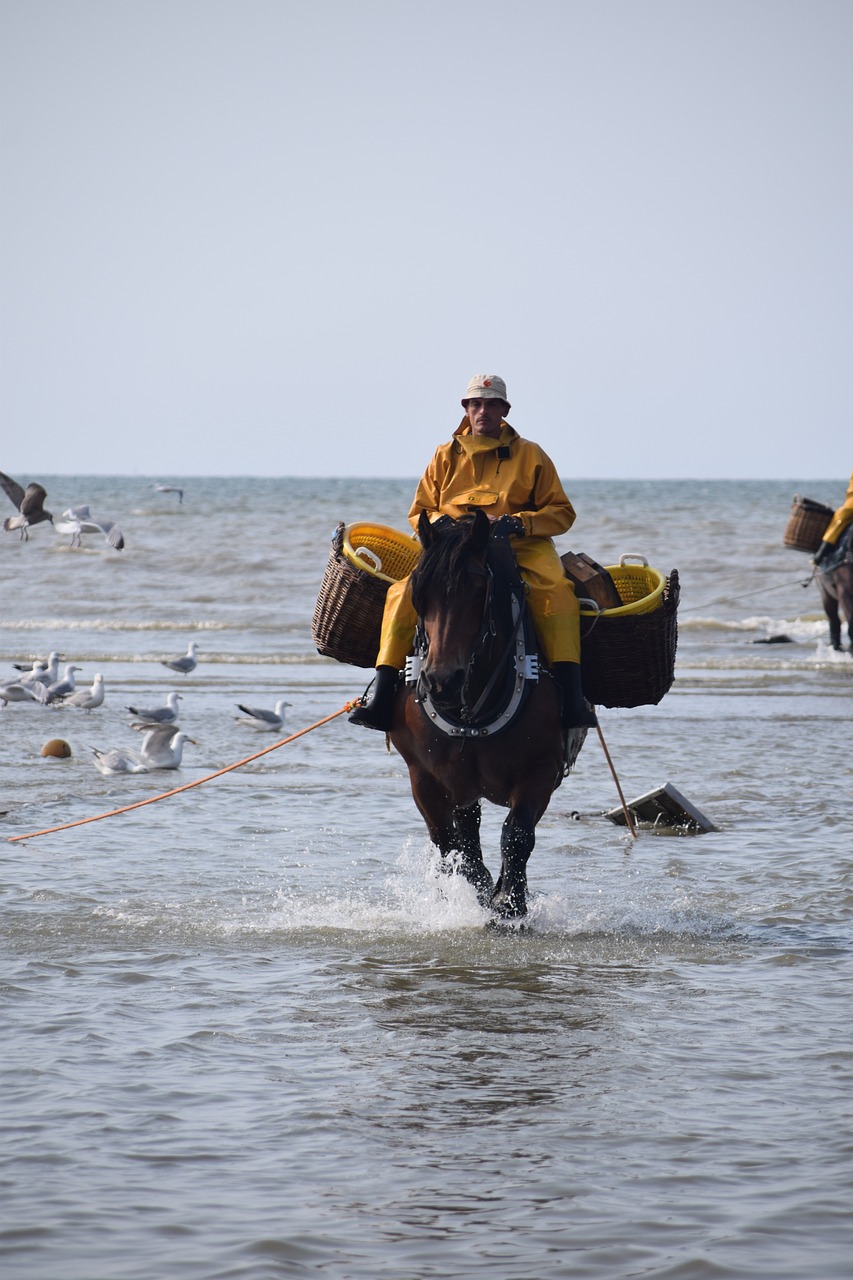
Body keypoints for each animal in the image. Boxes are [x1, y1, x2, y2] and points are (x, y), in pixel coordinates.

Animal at [384, 509, 584, 921]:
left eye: (478, 591)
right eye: (420, 594)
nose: (441, 680)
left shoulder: (541, 769)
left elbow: (517, 835)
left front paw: (509, 904)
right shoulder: (424, 776)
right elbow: (450, 846)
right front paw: (474, 895)